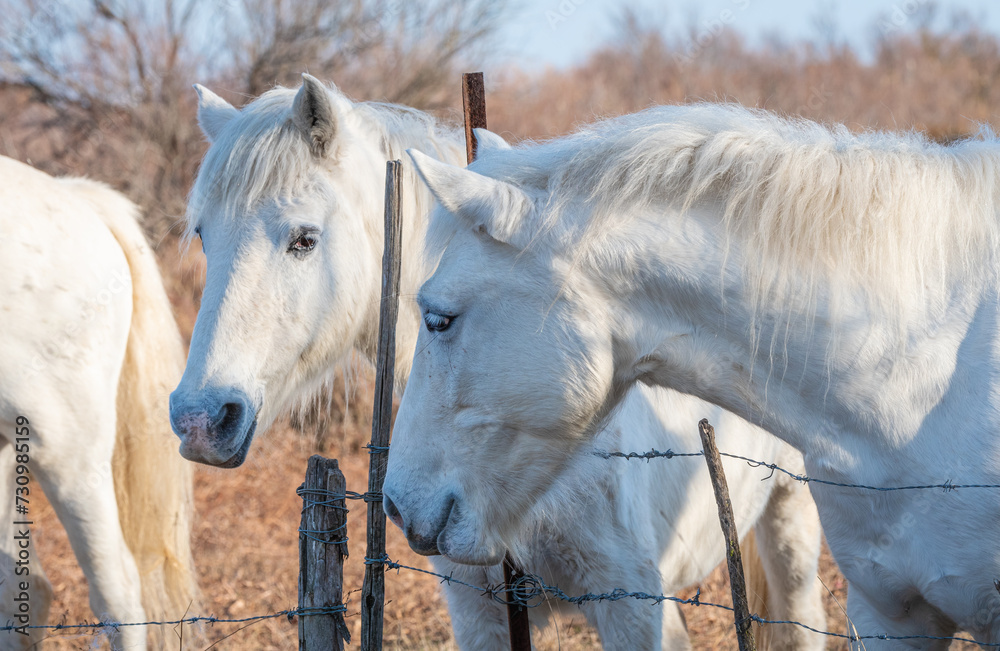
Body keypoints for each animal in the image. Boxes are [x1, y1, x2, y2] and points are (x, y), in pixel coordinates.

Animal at [171, 76, 826, 649]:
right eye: (203, 235)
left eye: (303, 239)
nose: (200, 420)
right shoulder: (481, 611)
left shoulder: (632, 609)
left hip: (791, 520)